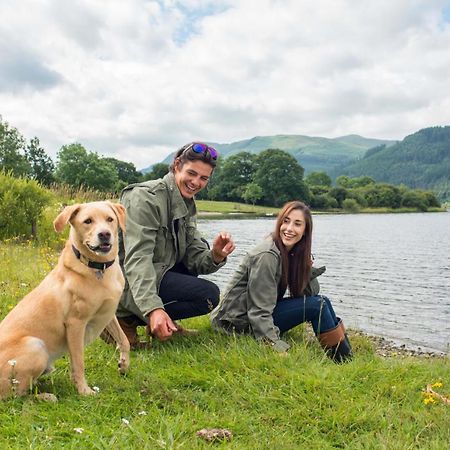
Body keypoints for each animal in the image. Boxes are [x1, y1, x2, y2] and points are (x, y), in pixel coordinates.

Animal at [0, 200, 130, 398]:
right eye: (88, 221)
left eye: (110, 219)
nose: (105, 234)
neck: (98, 268)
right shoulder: (75, 324)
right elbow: (79, 362)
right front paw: (84, 391)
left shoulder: (108, 314)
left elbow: (124, 340)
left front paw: (123, 365)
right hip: (35, 346)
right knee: (16, 395)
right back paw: (46, 397)